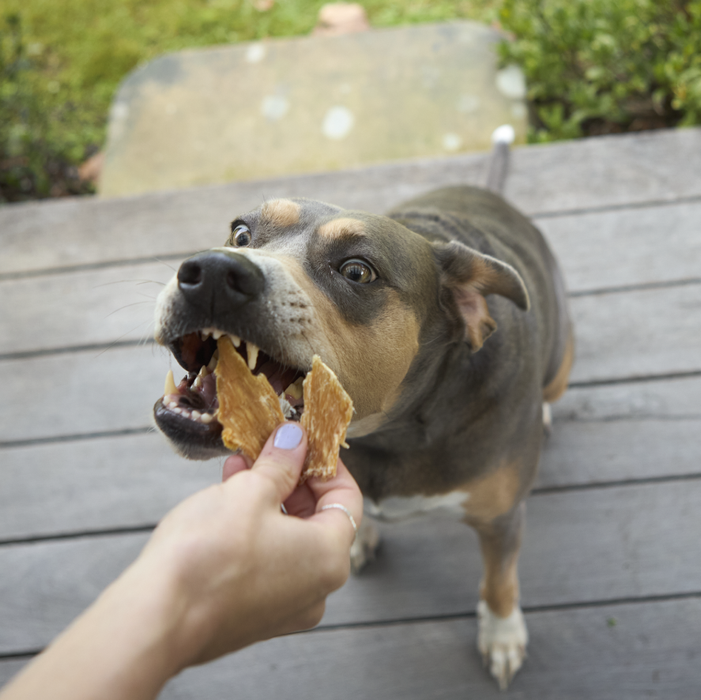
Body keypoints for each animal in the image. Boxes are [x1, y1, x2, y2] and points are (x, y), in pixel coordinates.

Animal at [150, 144, 572, 688]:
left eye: (356, 271)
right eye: (241, 233)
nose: (214, 271)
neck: (388, 432)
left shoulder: (501, 519)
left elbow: (500, 581)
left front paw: (501, 635)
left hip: (561, 361)